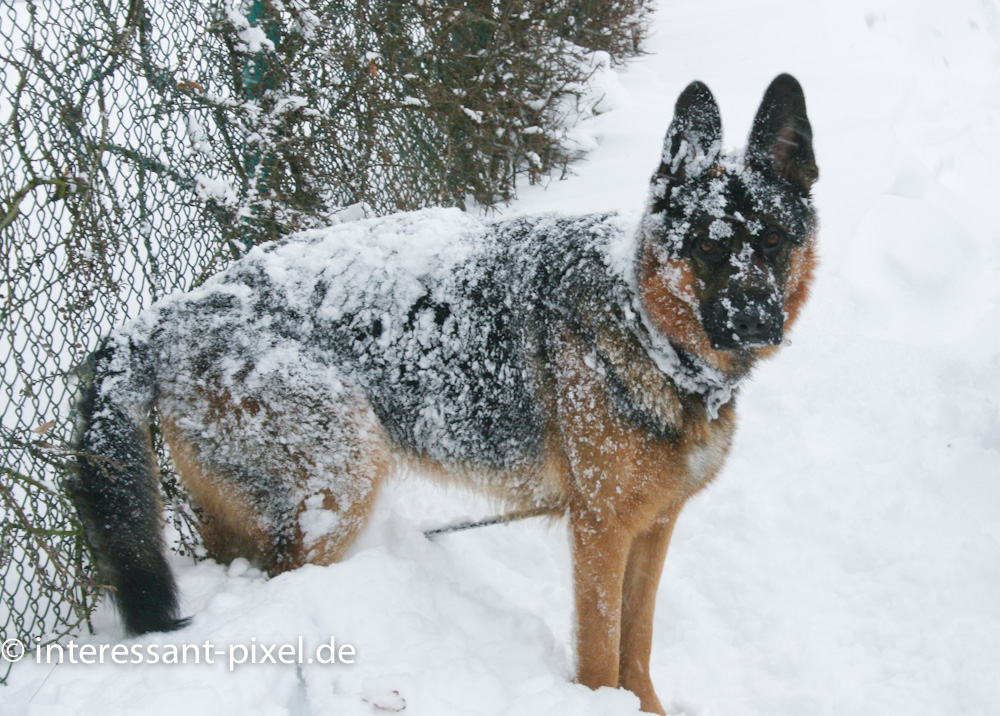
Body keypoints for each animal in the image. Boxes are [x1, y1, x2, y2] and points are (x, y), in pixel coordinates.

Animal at [72, 75, 820, 712]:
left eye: (773, 241)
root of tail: (169, 312)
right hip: (345, 479)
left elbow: (636, 646)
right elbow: (601, 654)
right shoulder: (600, 534)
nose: (757, 321)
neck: (639, 319)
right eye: (709, 248)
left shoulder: (654, 528)